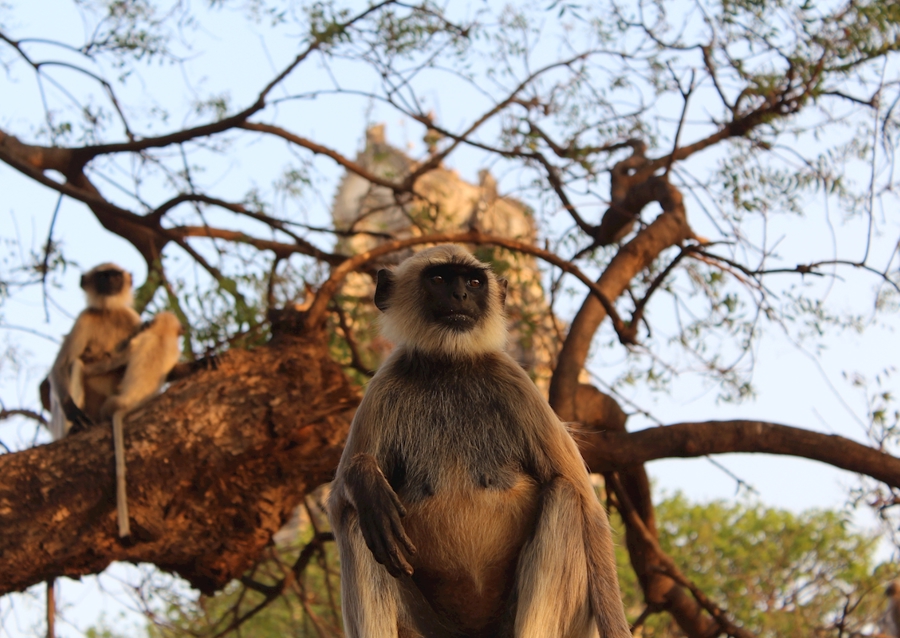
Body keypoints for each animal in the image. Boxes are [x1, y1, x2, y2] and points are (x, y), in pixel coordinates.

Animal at [48, 263, 142, 440]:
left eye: (116, 276)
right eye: (102, 276)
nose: (110, 281)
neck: (108, 312)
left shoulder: (133, 319)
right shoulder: (84, 319)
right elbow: (60, 366)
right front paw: (72, 412)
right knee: (75, 364)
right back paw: (73, 429)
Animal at [81, 311, 183, 537]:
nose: (145, 323)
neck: (162, 333)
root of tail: (128, 404)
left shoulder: (138, 342)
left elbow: (114, 362)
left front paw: (85, 366)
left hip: (111, 403)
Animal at [327, 245, 631, 638]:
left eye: (473, 282)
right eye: (439, 278)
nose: (460, 296)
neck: (449, 366)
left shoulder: (515, 383)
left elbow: (590, 510)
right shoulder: (383, 387)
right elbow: (338, 504)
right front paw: (363, 476)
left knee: (565, 494)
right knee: (359, 517)